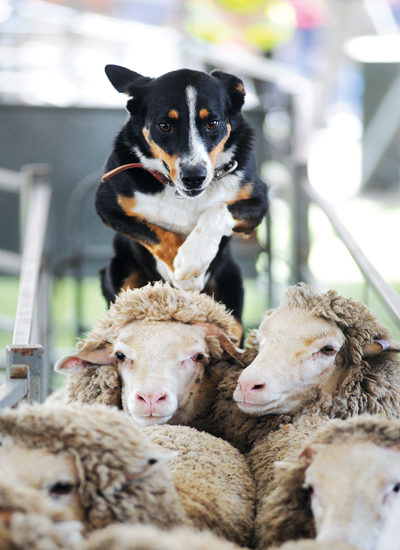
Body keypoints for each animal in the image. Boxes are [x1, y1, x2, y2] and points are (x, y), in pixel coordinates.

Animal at [95, 64, 268, 340]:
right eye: (164, 125)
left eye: (213, 123)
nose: (194, 176)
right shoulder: (107, 206)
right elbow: (157, 234)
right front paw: (182, 270)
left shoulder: (258, 203)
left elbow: (216, 210)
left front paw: (192, 257)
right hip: (120, 273)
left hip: (230, 295)